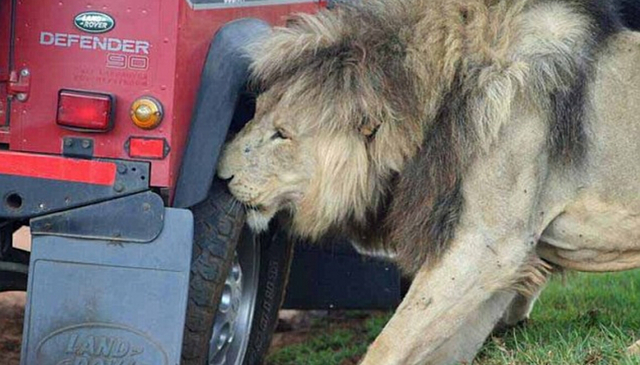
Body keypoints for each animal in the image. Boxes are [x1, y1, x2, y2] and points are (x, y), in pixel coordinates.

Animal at [218, 1, 640, 362]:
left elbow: (391, 341)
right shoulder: (506, 260)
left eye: (282, 135)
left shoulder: (489, 244)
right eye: (255, 111)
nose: (221, 174)